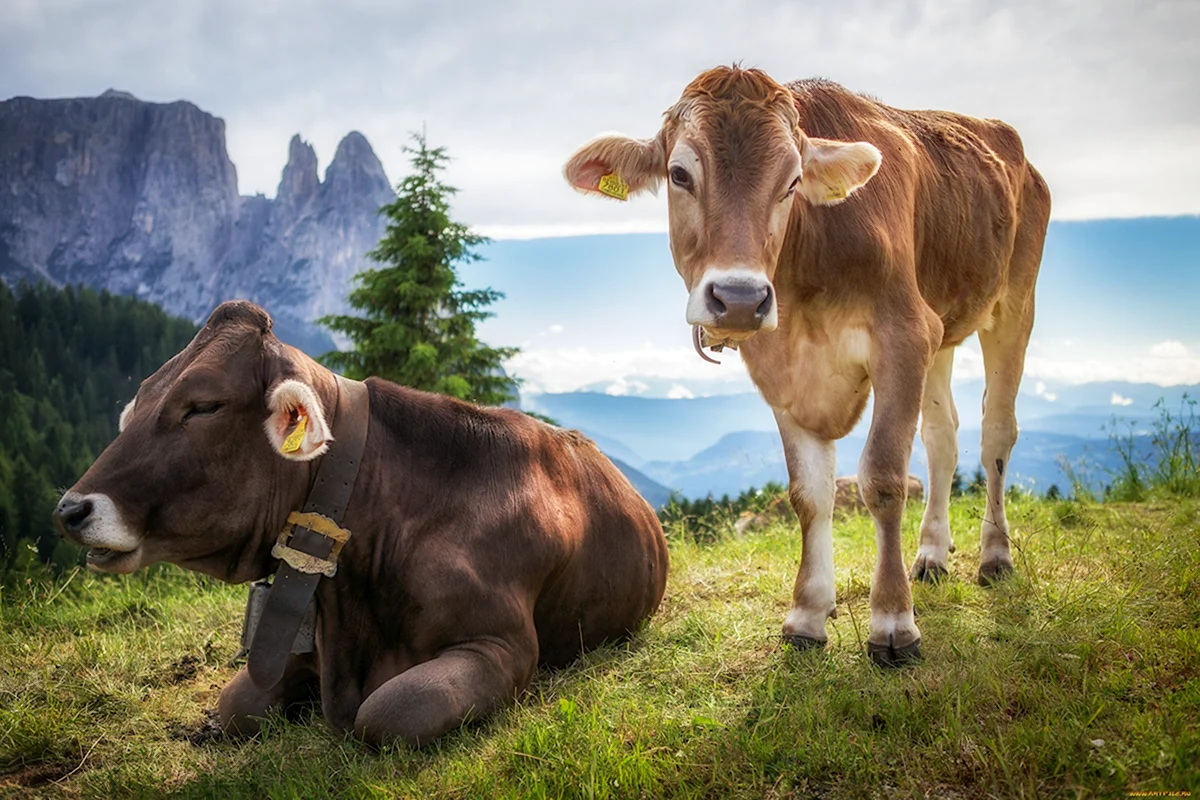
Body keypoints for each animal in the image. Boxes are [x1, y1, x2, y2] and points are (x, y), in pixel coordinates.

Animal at [52, 301, 668, 746]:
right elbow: (236, 706)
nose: (70, 510)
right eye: (138, 401)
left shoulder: (501, 645)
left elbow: (387, 714)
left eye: (203, 405)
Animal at [564, 66, 1050, 666]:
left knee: (996, 432)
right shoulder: (786, 369)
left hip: (1014, 304)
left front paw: (893, 623)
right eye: (679, 174)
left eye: (793, 181)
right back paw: (933, 555)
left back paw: (995, 556)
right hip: (943, 324)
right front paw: (807, 616)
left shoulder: (904, 337)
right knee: (943, 436)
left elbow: (882, 479)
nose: (740, 298)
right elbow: (810, 494)